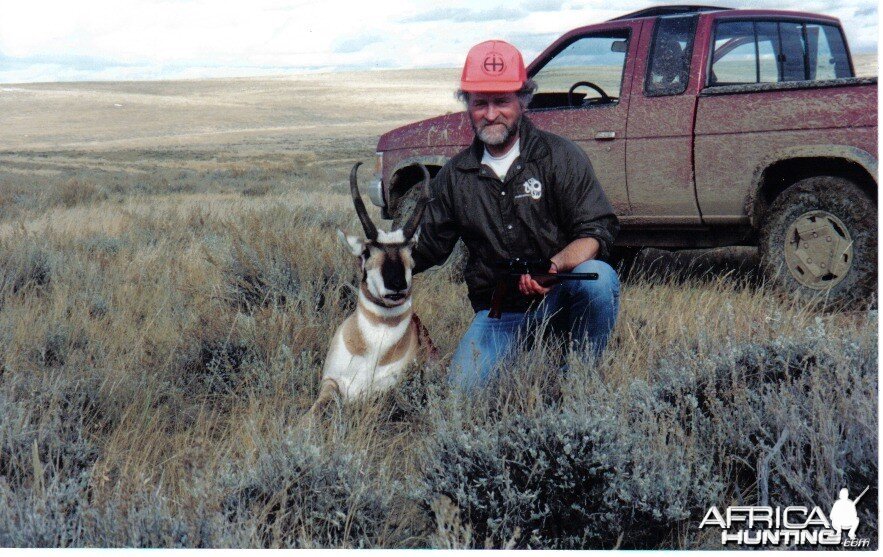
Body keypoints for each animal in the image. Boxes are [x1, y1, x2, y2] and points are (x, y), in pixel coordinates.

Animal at [310, 161, 436, 412]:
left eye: (411, 251)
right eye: (366, 252)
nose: (397, 285)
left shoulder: (380, 394)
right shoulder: (330, 382)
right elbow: (311, 413)